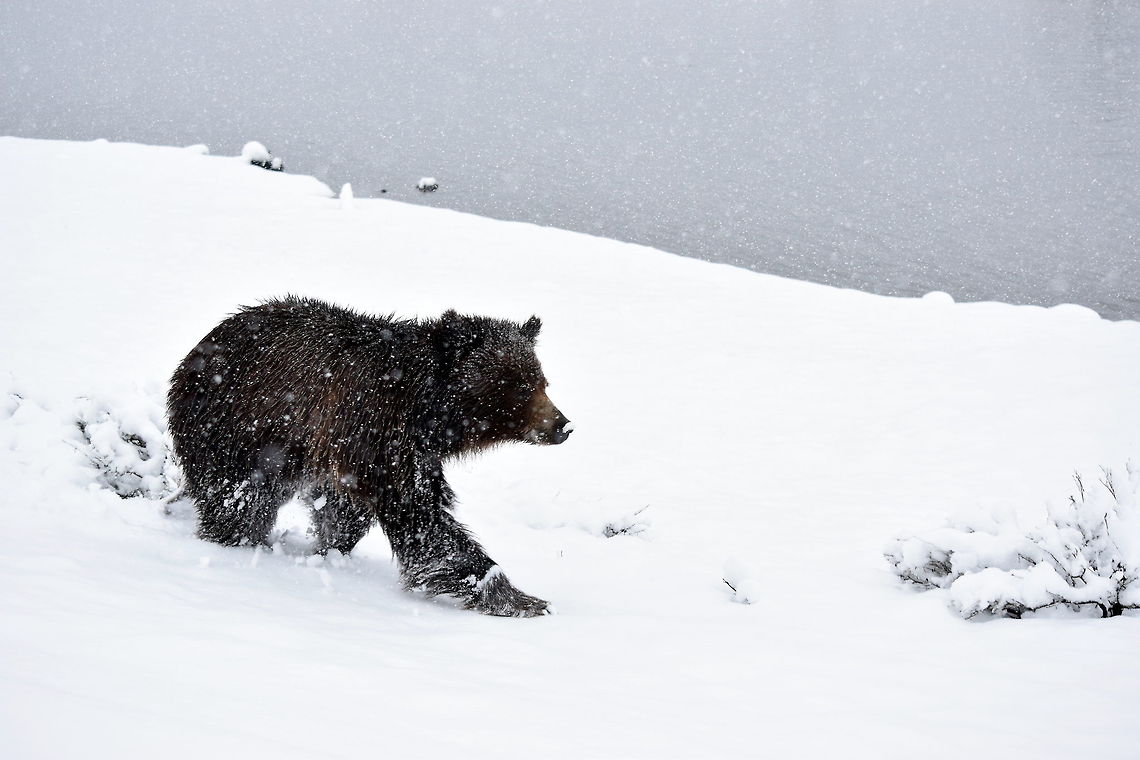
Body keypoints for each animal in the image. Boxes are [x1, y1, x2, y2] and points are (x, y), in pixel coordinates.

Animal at [167, 296, 572, 617]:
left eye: (542, 381)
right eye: (520, 385)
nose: (562, 425)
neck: (428, 411)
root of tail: (196, 352)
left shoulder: (379, 451)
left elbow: (347, 509)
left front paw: (330, 546)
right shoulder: (380, 432)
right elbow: (421, 515)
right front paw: (517, 597)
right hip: (239, 428)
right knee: (238, 497)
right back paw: (236, 539)